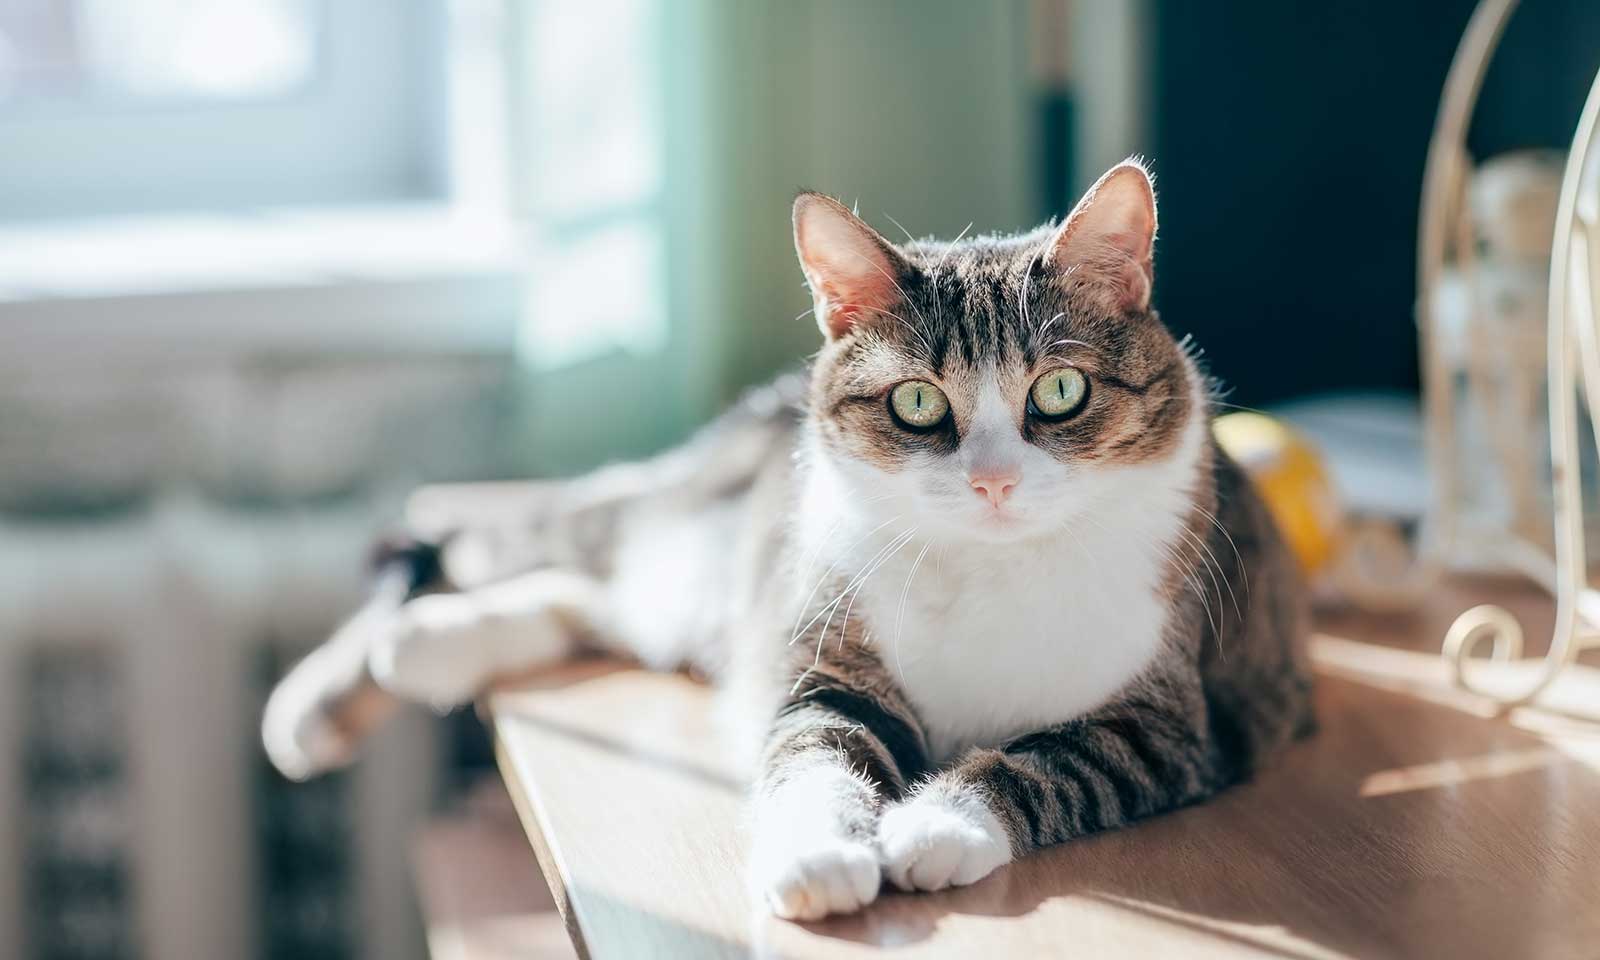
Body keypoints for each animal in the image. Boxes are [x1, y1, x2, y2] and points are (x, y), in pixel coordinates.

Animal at [262, 159, 1312, 921]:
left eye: (1060, 391)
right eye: (918, 403)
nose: (993, 482)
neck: (990, 566)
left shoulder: (1175, 722)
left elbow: (1049, 762)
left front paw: (936, 827)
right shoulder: (829, 664)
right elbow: (814, 754)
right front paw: (821, 858)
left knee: (589, 601)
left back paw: (421, 652)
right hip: (693, 542)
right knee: (542, 553)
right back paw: (323, 699)